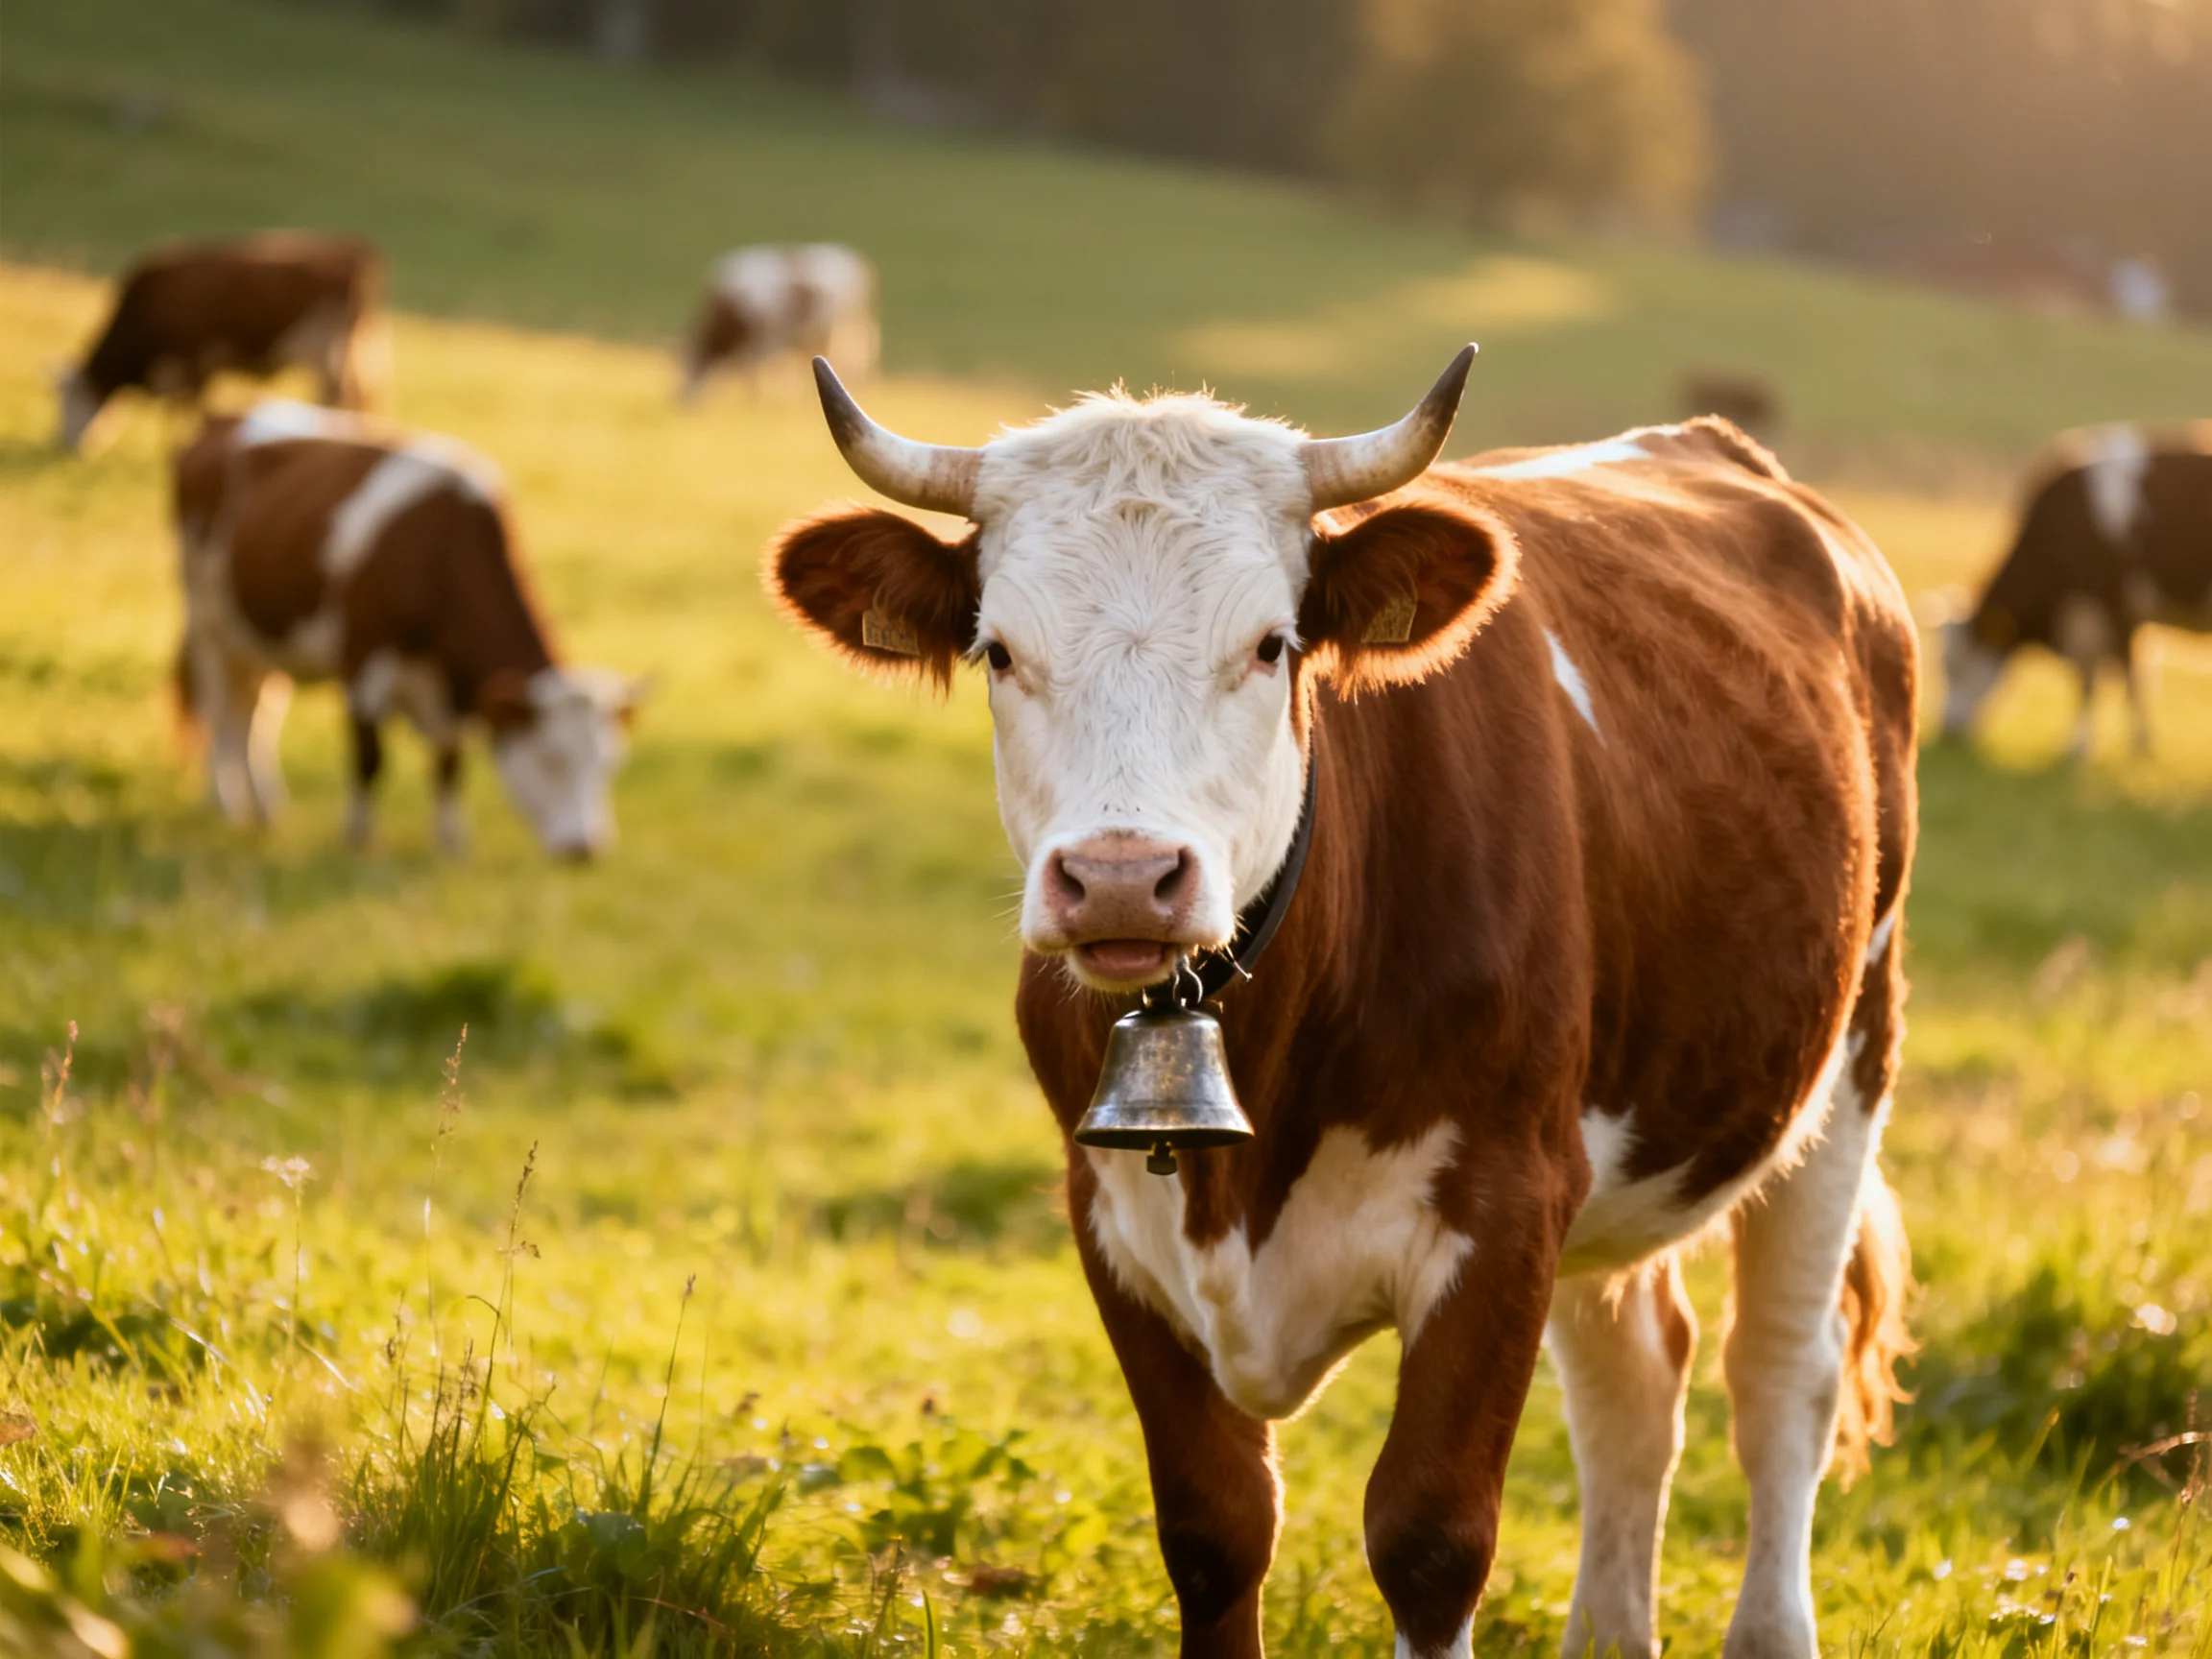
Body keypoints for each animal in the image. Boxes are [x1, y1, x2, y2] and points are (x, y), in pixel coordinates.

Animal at [59, 233, 389, 452]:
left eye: (71, 399)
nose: (65, 444)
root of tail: (356, 252)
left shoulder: (191, 361)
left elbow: (186, 408)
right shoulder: (197, 367)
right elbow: (186, 408)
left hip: (328, 353)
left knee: (341, 399)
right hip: (356, 352)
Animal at [172, 401, 642, 859]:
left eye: (608, 766)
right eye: (551, 759)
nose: (587, 848)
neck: (440, 552)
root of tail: (220, 417)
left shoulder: (447, 694)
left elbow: (449, 762)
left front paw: (451, 841)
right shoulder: (364, 662)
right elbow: (369, 757)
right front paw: (359, 838)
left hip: (259, 639)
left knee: (254, 714)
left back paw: (266, 809)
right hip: (206, 621)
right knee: (218, 706)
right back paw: (224, 801)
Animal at [678, 243, 877, 402]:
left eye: (690, 367)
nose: (681, 401)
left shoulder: (760, 344)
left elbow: (751, 373)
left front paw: (754, 401)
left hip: (843, 335)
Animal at [764, 349, 1918, 1658]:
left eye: (1272, 645)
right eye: (999, 650)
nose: (1121, 877)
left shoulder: (1507, 1207)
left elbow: (1429, 1538)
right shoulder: (1111, 1220)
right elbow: (1215, 1531)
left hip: (1849, 1055)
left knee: (1779, 1376)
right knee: (1633, 1377)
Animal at [1941, 423, 2212, 758]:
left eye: (1959, 666)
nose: (1948, 730)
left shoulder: (2110, 606)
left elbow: (2108, 679)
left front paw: (2095, 746)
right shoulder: (2111, 616)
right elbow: (2115, 678)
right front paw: (2116, 743)